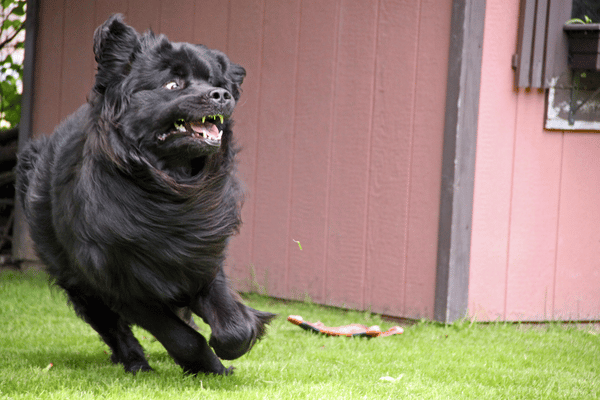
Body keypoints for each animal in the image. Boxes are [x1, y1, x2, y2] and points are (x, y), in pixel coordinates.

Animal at [15, 14, 274, 376]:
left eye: (213, 81)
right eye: (173, 85)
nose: (222, 94)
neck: (165, 188)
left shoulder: (200, 257)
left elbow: (233, 324)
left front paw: (230, 346)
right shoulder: (123, 285)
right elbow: (183, 338)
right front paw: (208, 365)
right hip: (77, 280)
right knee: (110, 326)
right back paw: (134, 361)